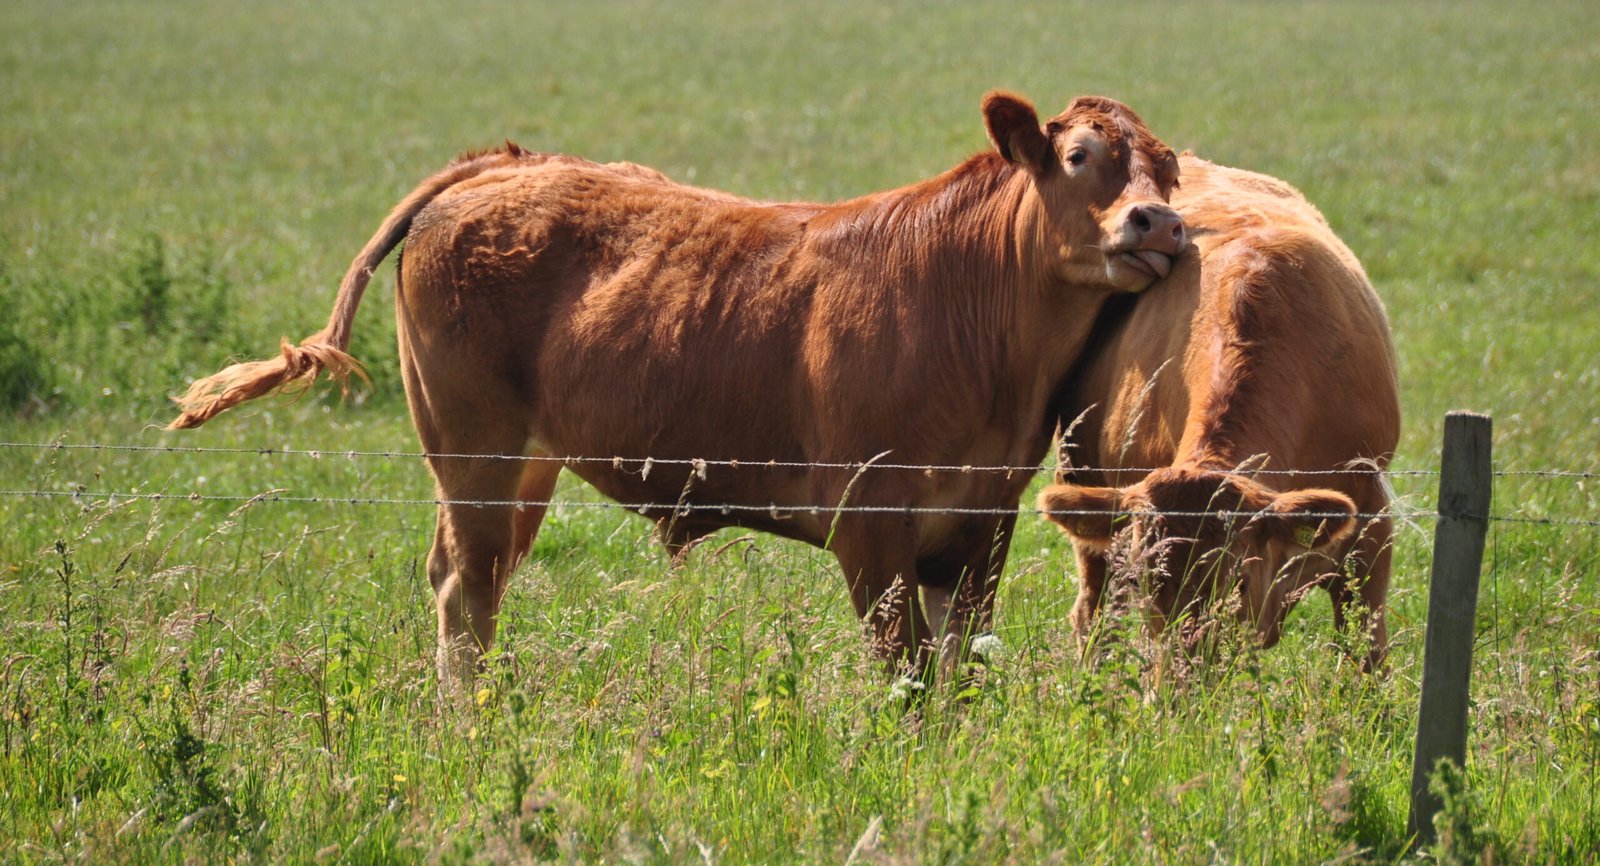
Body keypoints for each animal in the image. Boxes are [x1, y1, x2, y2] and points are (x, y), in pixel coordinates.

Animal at [168, 92, 1186, 687]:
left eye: (1169, 170)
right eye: (1079, 158)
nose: (1159, 222)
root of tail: (511, 162)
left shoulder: (981, 523)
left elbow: (959, 671)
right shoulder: (869, 521)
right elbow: (905, 675)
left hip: (525, 464)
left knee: (468, 579)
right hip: (472, 448)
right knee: (465, 588)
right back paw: (471, 719)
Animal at [1038, 154, 1399, 671]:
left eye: (1238, 584)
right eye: (1149, 584)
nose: (1180, 682)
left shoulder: (1373, 522)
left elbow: (1367, 651)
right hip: (1078, 476)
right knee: (1094, 610)